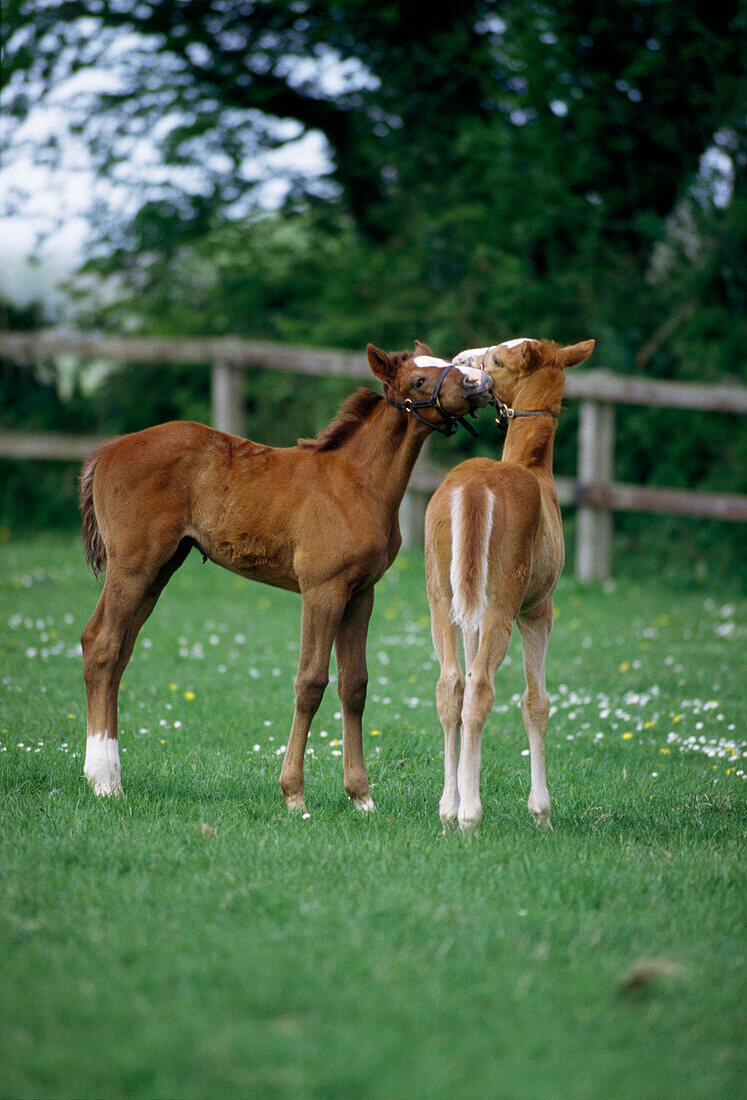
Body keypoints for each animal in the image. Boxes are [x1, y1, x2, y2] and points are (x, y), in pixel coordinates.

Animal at [80, 343, 497, 809]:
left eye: (447, 363)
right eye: (420, 380)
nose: (480, 382)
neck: (356, 482)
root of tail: (109, 450)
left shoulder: (360, 593)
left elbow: (354, 686)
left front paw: (361, 797)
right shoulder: (322, 589)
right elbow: (311, 682)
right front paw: (294, 793)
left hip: (160, 569)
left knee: (120, 652)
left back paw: (111, 773)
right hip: (133, 565)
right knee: (101, 643)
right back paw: (103, 780)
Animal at [426, 338, 594, 827]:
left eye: (498, 359)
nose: (462, 362)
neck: (532, 466)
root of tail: (473, 487)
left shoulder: (473, 615)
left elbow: (463, 684)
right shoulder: (539, 610)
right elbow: (536, 702)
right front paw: (542, 812)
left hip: (442, 596)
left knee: (452, 687)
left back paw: (449, 810)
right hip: (503, 603)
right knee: (481, 688)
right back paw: (470, 815)